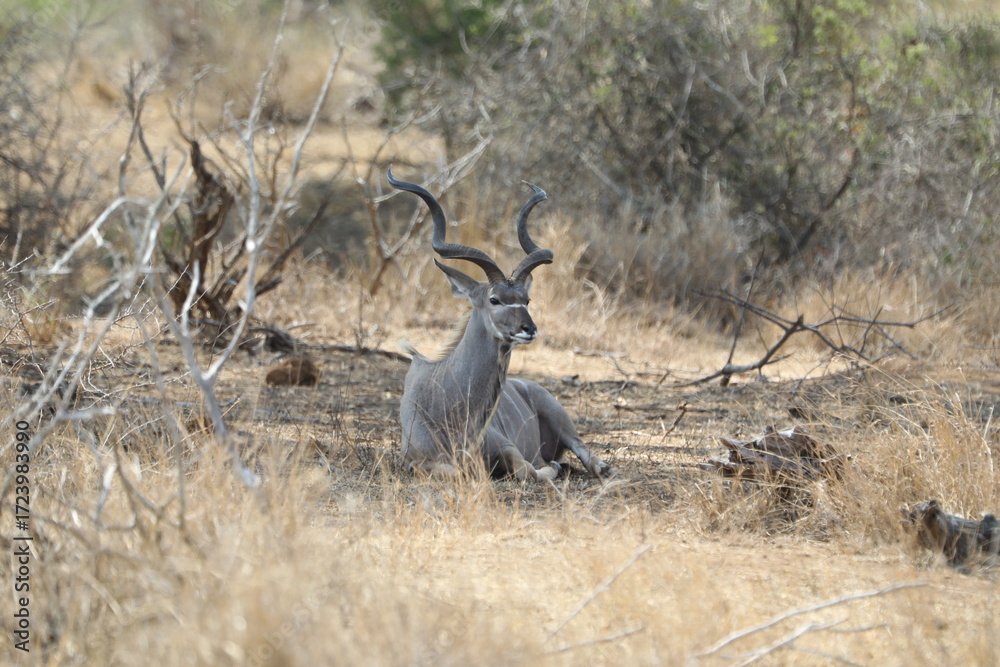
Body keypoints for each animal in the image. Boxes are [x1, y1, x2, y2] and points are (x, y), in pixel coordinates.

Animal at [389, 169, 612, 482]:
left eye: (527, 300)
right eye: (494, 299)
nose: (529, 329)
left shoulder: (507, 446)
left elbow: (526, 469)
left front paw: (549, 468)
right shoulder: (414, 460)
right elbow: (454, 472)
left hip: (559, 416)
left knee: (584, 451)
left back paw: (598, 467)